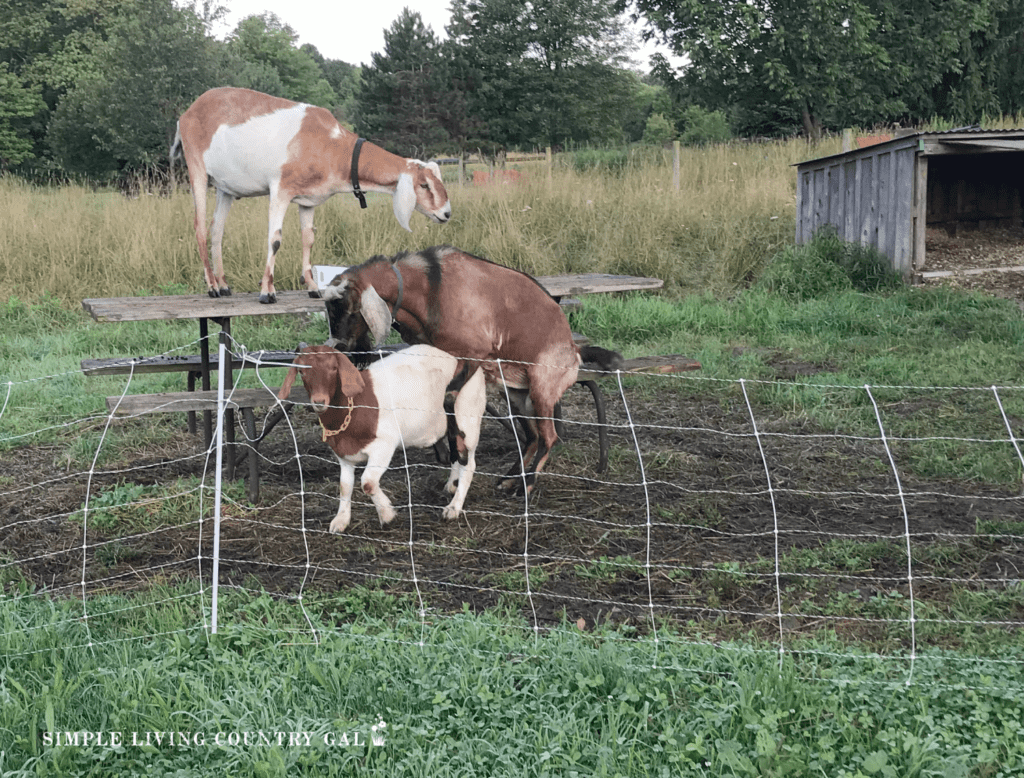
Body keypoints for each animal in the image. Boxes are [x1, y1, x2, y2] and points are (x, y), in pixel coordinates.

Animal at [172, 86, 452, 303]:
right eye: (424, 185)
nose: (446, 213)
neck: (329, 143)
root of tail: (186, 114)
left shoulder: (308, 201)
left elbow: (308, 239)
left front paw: (313, 287)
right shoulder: (280, 191)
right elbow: (275, 239)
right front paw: (267, 292)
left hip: (225, 189)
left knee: (216, 230)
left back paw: (223, 285)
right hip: (197, 170)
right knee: (200, 226)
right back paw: (212, 287)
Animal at [278, 343, 485, 536]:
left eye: (334, 368)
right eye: (302, 371)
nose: (319, 401)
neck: (353, 407)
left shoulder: (384, 446)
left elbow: (368, 482)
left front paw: (387, 515)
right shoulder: (344, 454)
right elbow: (345, 486)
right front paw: (341, 521)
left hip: (469, 420)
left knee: (469, 464)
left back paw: (454, 507)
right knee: (456, 455)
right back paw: (451, 486)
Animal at [319, 245, 622, 495]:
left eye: (349, 308)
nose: (341, 347)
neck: (430, 289)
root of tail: (575, 351)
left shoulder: (473, 355)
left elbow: (450, 402)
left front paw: (457, 463)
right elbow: (444, 407)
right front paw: (451, 466)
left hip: (542, 388)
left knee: (549, 437)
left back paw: (527, 485)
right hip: (514, 392)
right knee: (533, 436)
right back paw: (509, 479)